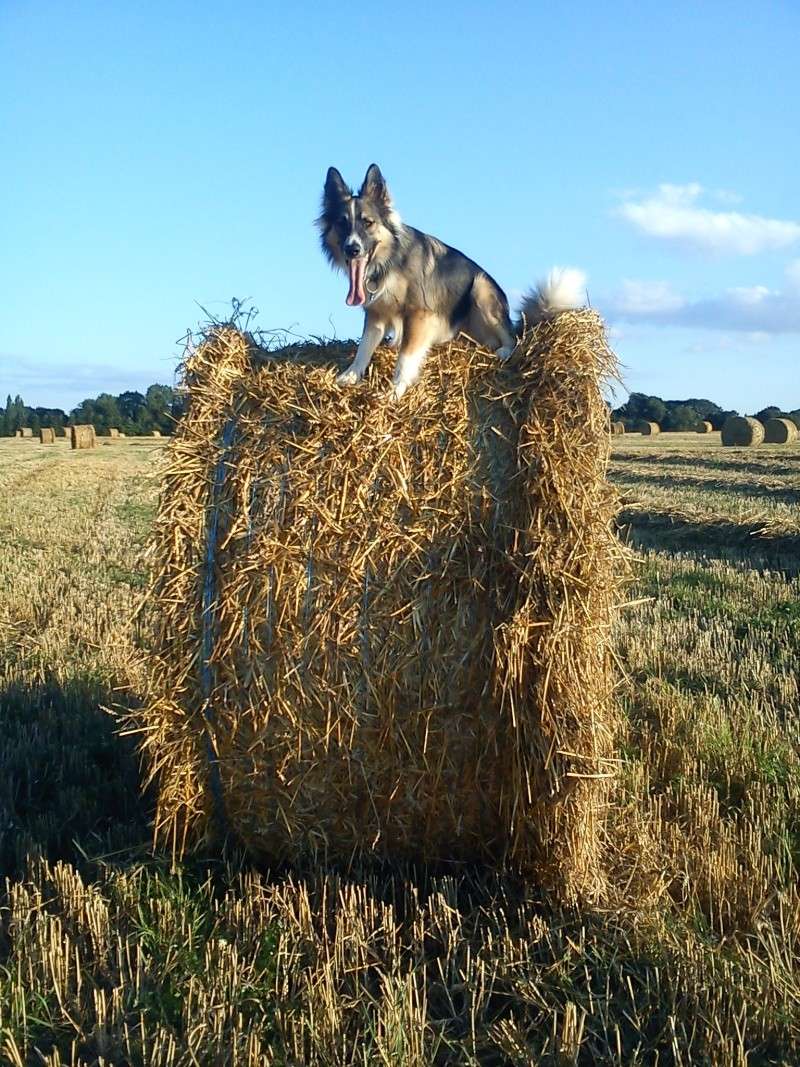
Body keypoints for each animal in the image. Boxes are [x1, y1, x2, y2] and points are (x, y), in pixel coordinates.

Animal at [315, 164, 584, 399]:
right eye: (342, 223)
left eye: (368, 222)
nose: (352, 249)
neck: (389, 261)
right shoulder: (376, 312)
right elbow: (364, 347)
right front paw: (350, 376)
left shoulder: (419, 313)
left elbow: (405, 358)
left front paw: (395, 391)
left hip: (481, 288)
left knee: (513, 339)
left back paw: (503, 350)